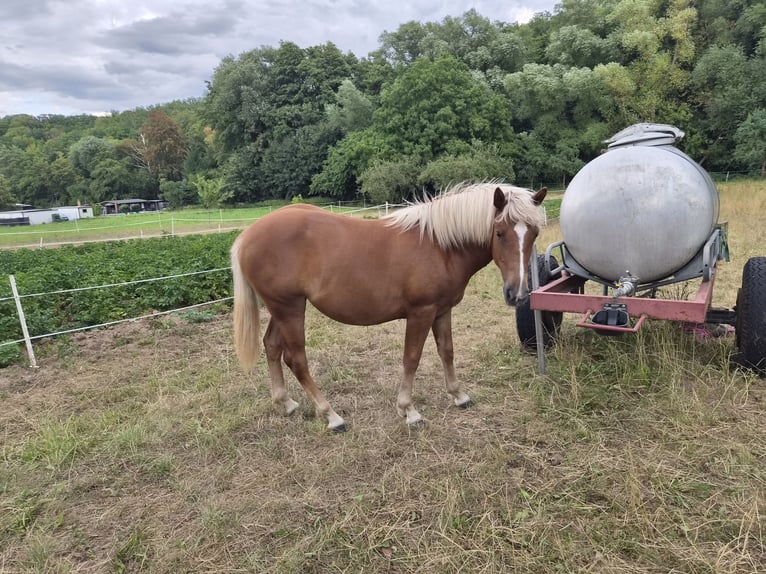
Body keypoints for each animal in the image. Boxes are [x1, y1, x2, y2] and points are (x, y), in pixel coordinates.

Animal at [231, 182, 547, 431]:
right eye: (499, 233)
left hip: (281, 309)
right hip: (290, 309)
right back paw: (331, 416)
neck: (439, 245)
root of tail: (246, 236)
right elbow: (412, 358)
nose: (518, 293)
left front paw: (459, 396)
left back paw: (286, 403)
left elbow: (447, 352)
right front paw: (409, 411)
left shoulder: (442, 311)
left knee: (272, 347)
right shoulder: (421, 313)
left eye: (533, 233)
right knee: (296, 359)